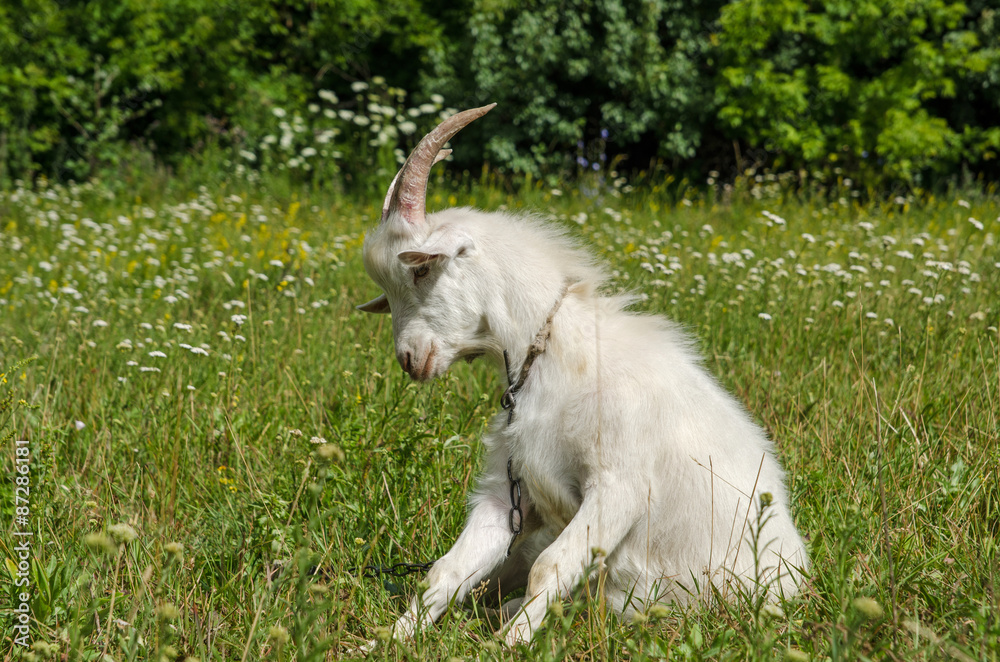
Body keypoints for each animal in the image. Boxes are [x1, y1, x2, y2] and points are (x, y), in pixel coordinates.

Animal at [358, 104, 809, 646]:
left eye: (421, 270)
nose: (409, 358)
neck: (555, 353)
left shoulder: (618, 485)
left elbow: (551, 567)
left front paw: (508, 645)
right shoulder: (509, 490)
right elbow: (446, 570)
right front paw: (388, 640)